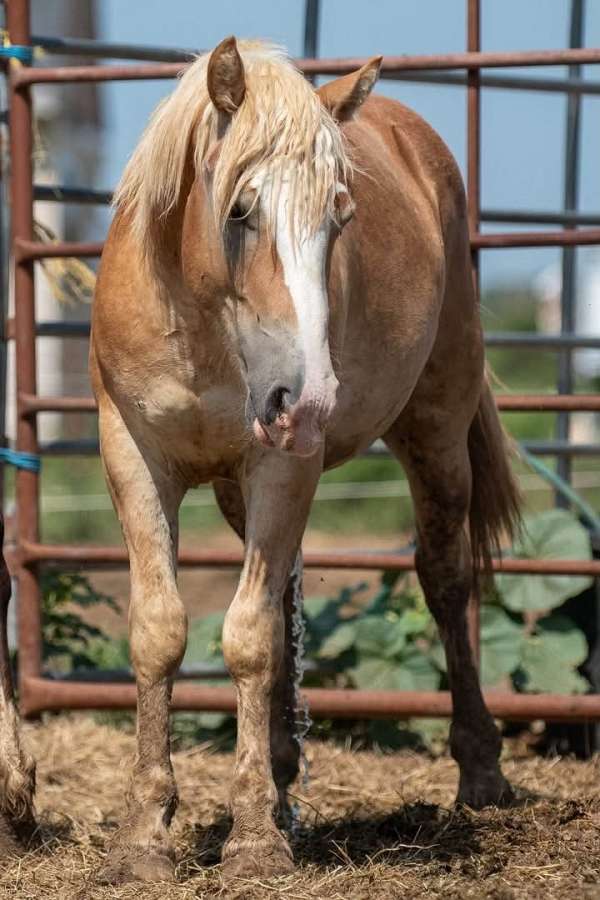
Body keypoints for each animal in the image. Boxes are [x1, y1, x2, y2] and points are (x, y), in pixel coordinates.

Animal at [0, 36, 520, 883]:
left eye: (341, 216)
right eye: (240, 209)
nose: (306, 398)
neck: (202, 328)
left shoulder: (283, 466)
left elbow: (247, 640)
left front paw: (252, 841)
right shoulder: (134, 457)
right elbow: (164, 631)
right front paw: (145, 835)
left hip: (436, 434)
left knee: (444, 580)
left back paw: (481, 774)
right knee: (286, 599)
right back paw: (280, 771)